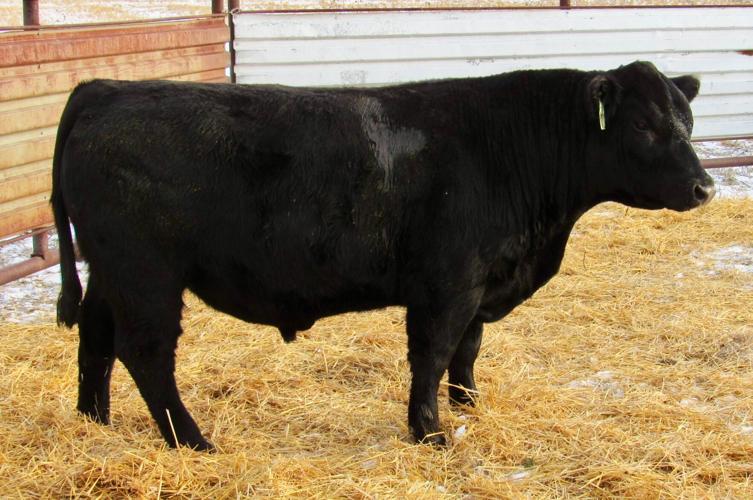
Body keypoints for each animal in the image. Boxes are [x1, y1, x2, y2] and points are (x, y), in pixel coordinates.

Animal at [52, 61, 714, 451]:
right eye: (644, 125)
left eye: (686, 118)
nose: (704, 187)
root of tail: (107, 89)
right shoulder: (447, 285)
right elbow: (433, 354)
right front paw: (430, 433)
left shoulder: (480, 284)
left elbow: (467, 352)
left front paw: (470, 407)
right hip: (146, 275)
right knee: (146, 355)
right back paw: (191, 441)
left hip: (109, 271)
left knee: (95, 337)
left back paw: (93, 423)